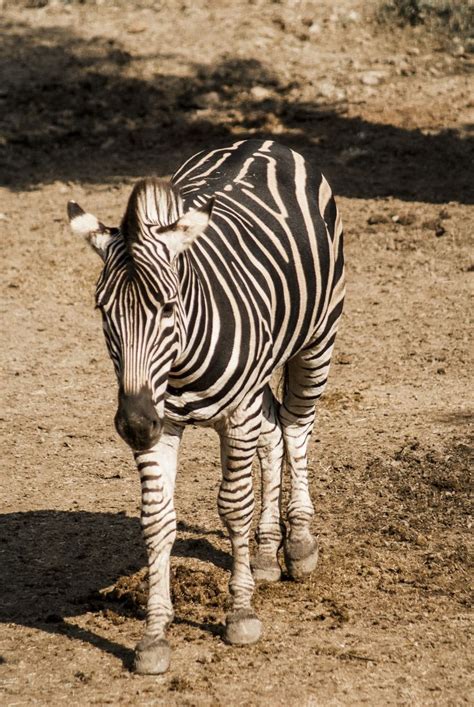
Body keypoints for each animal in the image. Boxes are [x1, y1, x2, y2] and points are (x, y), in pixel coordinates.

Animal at [67, 138, 344, 676]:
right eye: (102, 310)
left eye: (167, 307)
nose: (133, 424)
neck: (179, 366)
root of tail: (264, 142)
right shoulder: (162, 422)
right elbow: (157, 519)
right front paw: (154, 636)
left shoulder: (233, 415)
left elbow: (233, 506)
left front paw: (240, 615)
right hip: (259, 380)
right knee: (274, 433)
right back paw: (266, 553)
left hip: (317, 339)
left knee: (297, 428)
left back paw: (299, 543)